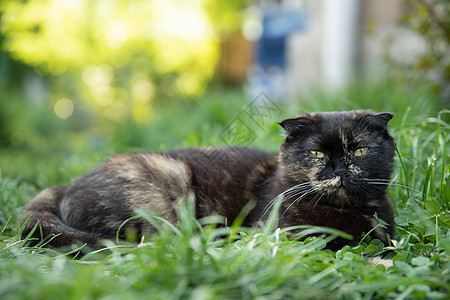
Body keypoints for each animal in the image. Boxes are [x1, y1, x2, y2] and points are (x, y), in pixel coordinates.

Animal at [19, 110, 396, 251]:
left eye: (360, 150)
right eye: (316, 153)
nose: (339, 170)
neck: (340, 213)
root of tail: (64, 187)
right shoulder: (275, 236)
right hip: (166, 190)